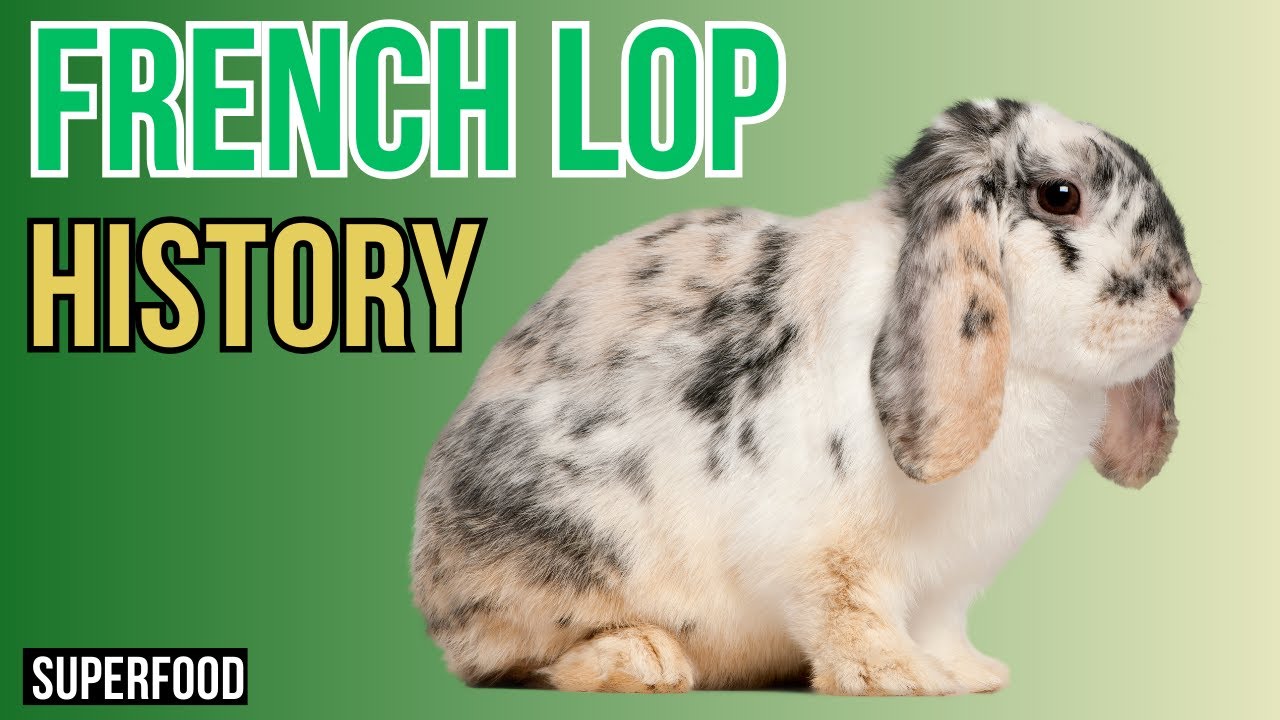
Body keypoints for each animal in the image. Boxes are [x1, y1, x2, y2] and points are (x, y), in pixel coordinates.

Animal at [410, 99, 1200, 695]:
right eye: (1060, 195)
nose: (1187, 293)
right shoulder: (828, 554)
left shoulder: (950, 582)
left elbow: (942, 626)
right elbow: (849, 612)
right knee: (518, 659)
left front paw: (971, 675)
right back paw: (643, 663)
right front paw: (898, 678)